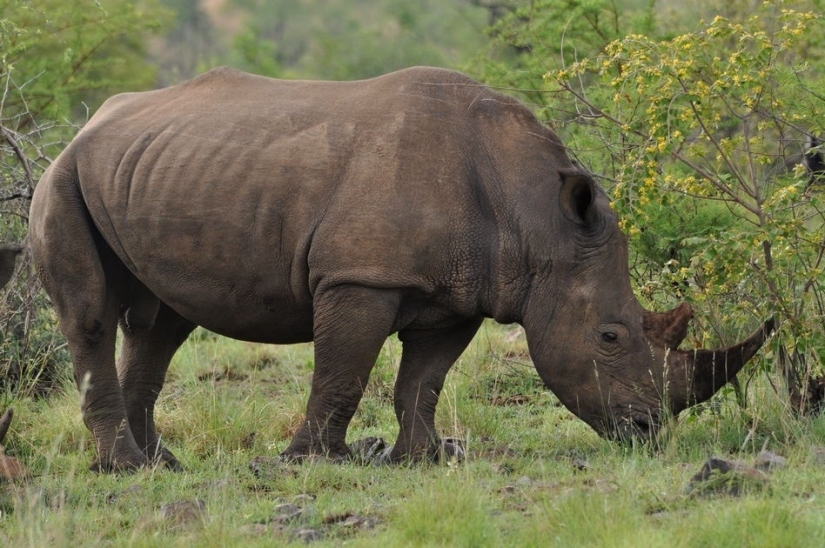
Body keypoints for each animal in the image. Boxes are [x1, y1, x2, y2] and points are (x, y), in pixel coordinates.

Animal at [28, 67, 772, 471]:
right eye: (610, 337)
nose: (648, 433)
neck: (537, 221)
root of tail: (87, 124)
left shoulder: (462, 292)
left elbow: (423, 380)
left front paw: (424, 457)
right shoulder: (361, 275)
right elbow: (343, 372)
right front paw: (316, 461)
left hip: (152, 172)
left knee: (161, 322)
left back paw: (161, 462)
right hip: (63, 178)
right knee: (92, 317)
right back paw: (126, 470)